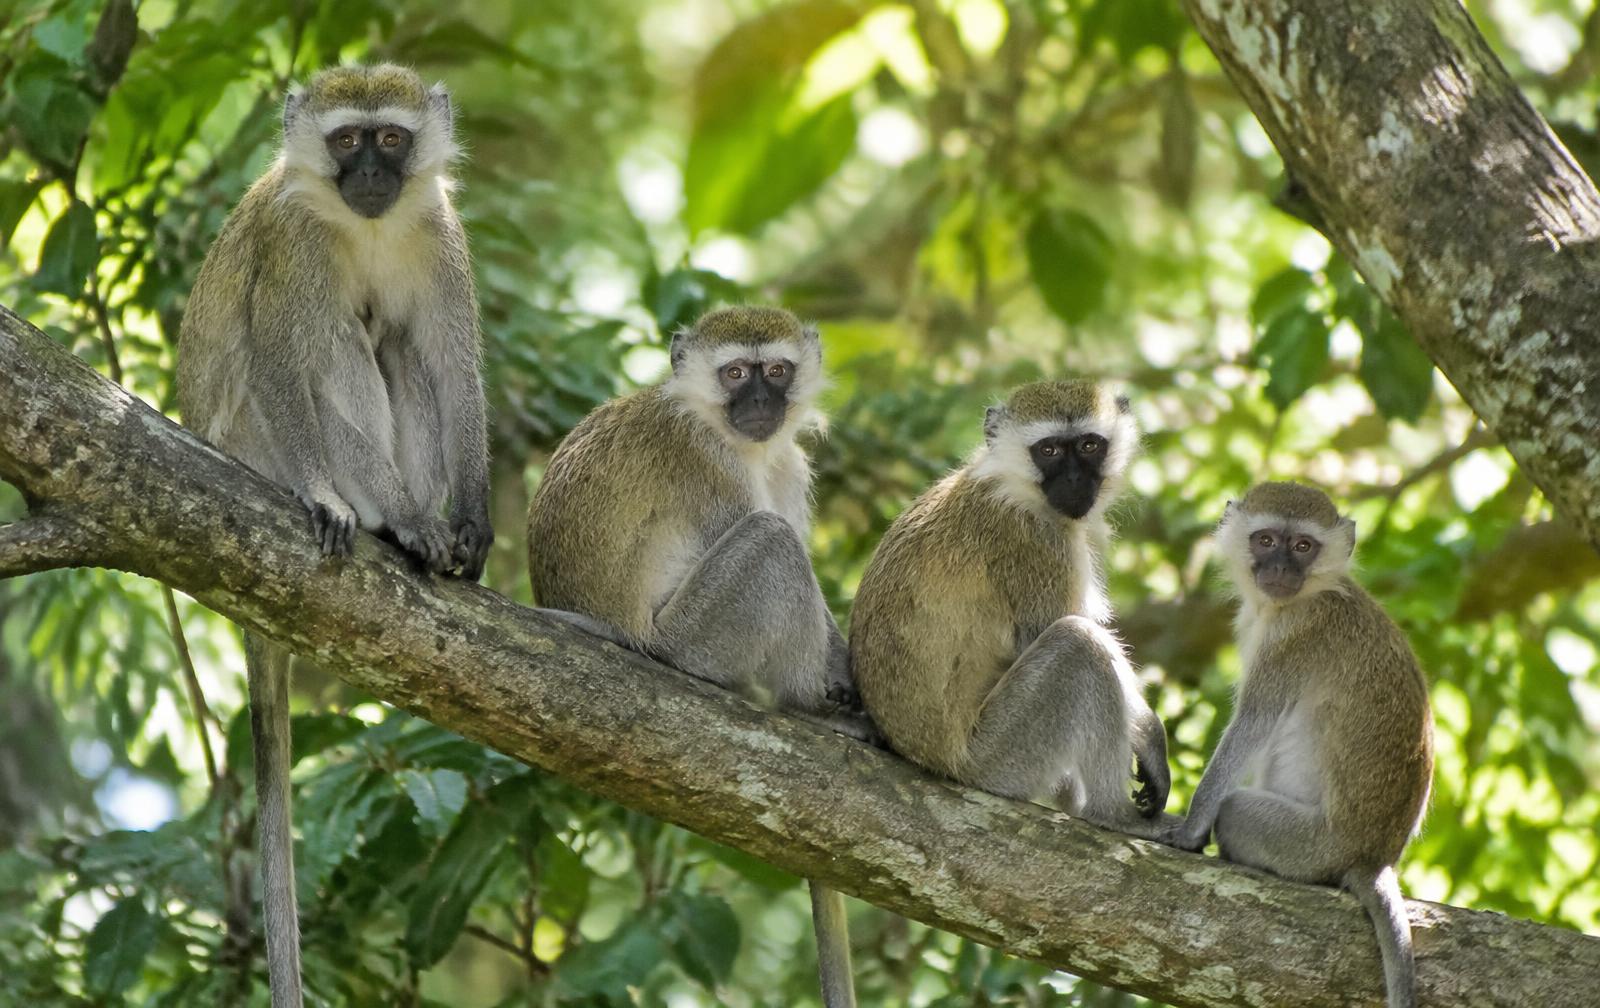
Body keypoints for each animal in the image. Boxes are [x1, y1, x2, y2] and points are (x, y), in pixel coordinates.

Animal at [176, 64, 491, 1008]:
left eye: (390, 138)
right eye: (346, 140)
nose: (372, 175)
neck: (364, 226)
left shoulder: (440, 232)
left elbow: (454, 367)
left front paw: (474, 522)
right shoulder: (293, 244)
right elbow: (284, 354)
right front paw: (336, 499)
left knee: (396, 341)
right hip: (253, 441)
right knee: (332, 341)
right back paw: (390, 518)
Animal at [526, 305, 862, 1008]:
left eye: (776, 370)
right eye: (735, 373)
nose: (759, 401)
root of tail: (634, 639)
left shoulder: (789, 464)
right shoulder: (702, 460)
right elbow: (770, 540)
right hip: (694, 639)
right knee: (770, 541)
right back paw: (810, 708)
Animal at [848, 381, 1171, 835]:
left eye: (1089, 445)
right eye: (1049, 450)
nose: (1074, 479)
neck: (1012, 484)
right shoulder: (1034, 543)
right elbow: (1048, 633)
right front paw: (1150, 737)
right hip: (997, 758)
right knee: (1078, 644)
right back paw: (1112, 815)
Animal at [1156, 482, 1433, 1008]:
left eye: (1303, 546)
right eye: (1266, 540)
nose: (1281, 569)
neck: (1309, 594)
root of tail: (1373, 857)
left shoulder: (1296, 637)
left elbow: (1254, 723)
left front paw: (1188, 830)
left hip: (1309, 846)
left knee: (1237, 811)